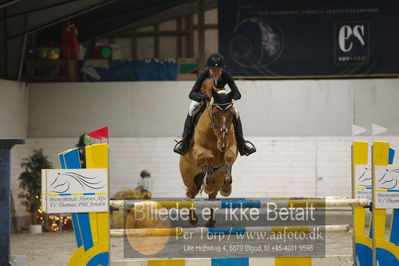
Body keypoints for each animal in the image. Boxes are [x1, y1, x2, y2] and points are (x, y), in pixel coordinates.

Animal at [178, 81, 238, 227]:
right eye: (215, 113)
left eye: (231, 113)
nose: (223, 143)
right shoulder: (197, 150)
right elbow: (209, 156)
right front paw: (209, 178)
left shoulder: (232, 148)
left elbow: (228, 158)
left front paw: (226, 187)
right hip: (188, 176)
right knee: (191, 192)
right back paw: (193, 219)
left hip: (216, 177)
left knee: (213, 195)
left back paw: (211, 221)